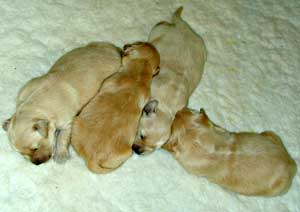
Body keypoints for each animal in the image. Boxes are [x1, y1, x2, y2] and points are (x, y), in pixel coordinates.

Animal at [133, 6, 206, 155]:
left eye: (154, 149)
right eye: (142, 135)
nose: (138, 151)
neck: (164, 106)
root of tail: (182, 26)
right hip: (159, 29)